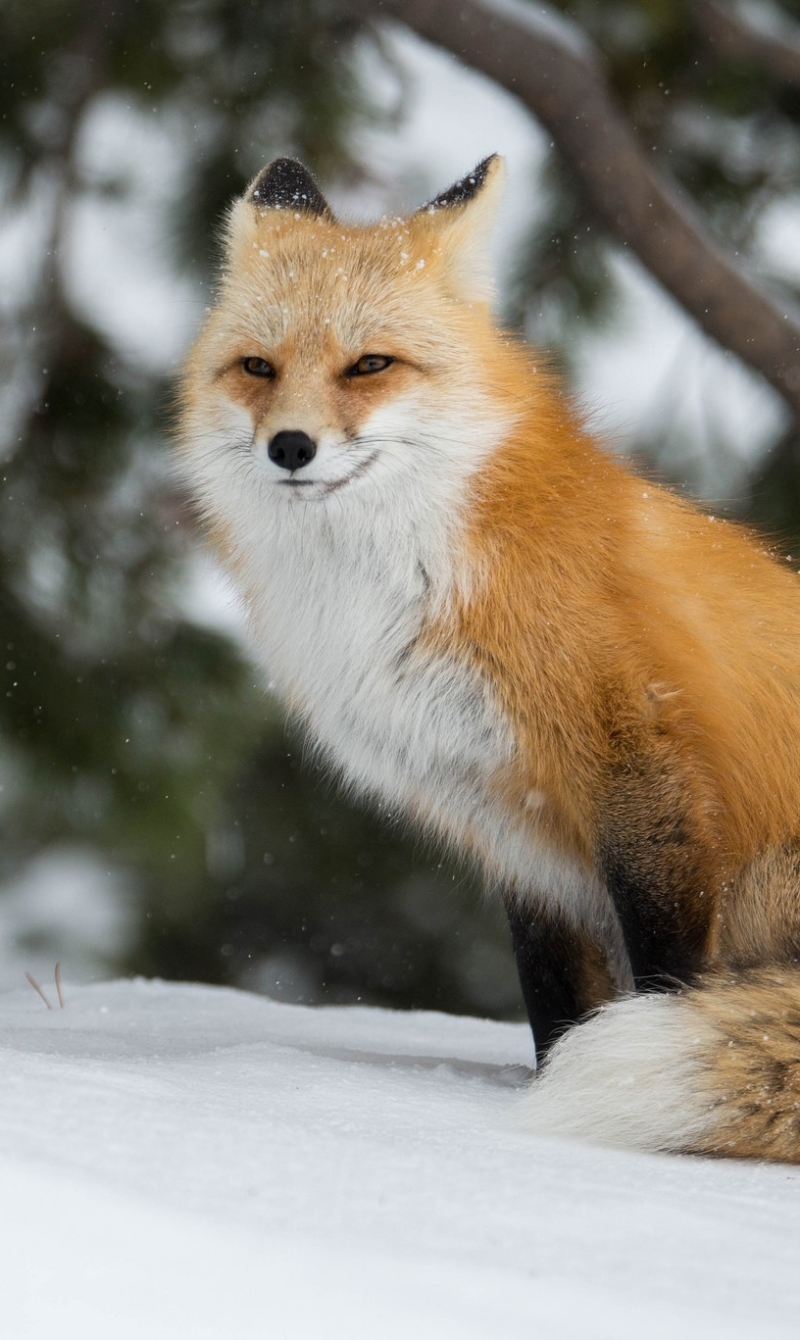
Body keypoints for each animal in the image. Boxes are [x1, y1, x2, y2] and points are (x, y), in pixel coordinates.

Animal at [176, 154, 800, 1163]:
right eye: (257, 368)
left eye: (370, 365)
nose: (290, 447)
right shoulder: (512, 816)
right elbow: (553, 999)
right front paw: (542, 1106)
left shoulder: (639, 764)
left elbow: (668, 980)